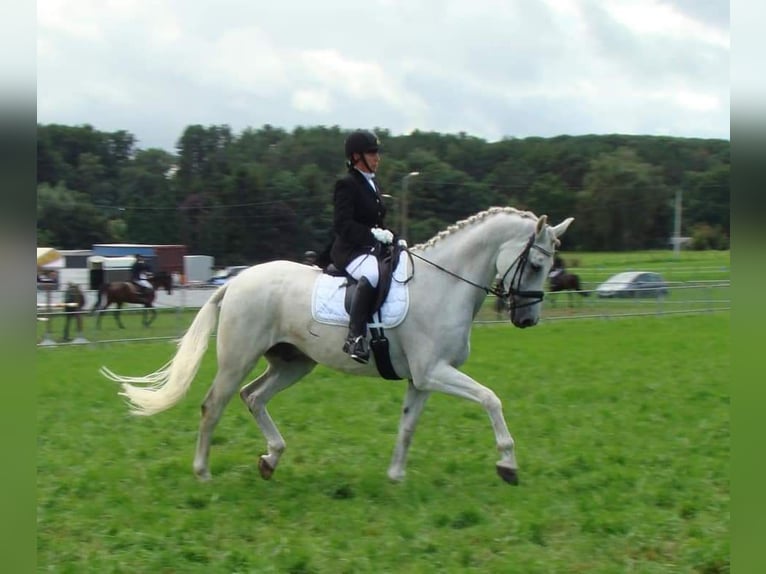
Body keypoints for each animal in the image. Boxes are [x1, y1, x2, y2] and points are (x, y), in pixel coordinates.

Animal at [102, 207, 572, 486]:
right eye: (535, 263)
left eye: (548, 264)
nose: (527, 319)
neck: (445, 284)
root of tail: (236, 281)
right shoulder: (435, 371)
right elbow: (491, 399)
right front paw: (507, 464)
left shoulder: (422, 378)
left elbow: (407, 426)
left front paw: (395, 476)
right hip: (238, 358)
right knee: (213, 405)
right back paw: (203, 472)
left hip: (293, 363)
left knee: (253, 397)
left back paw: (271, 459)